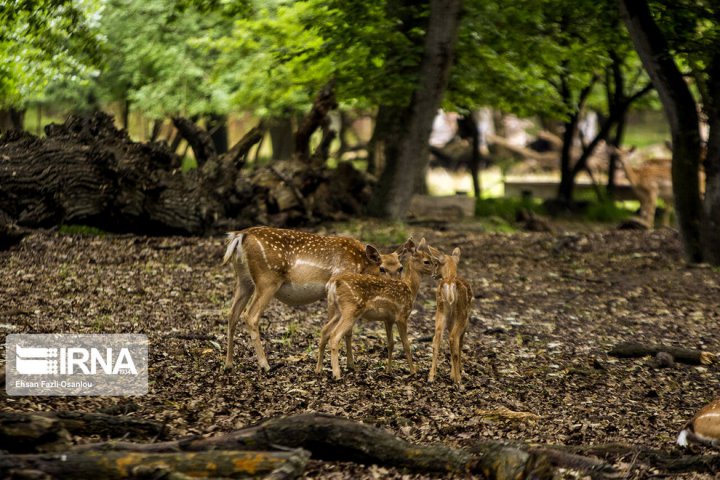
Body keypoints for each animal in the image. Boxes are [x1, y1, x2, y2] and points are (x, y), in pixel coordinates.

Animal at [222, 227, 404, 370]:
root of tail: (240, 236)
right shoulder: (335, 285)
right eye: (382, 268)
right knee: (250, 316)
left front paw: (350, 365)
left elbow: (348, 331)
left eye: (401, 267)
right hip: (267, 280)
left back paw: (229, 364)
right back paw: (265, 365)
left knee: (232, 314)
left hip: (244, 280)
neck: (361, 266)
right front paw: (336, 366)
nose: (397, 284)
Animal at [316, 236, 438, 378]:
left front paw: (388, 371)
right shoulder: (402, 316)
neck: (410, 288)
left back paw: (318, 369)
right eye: (427, 261)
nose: (436, 273)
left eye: (400, 268)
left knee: (325, 330)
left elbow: (391, 343)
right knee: (335, 335)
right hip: (351, 308)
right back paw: (337, 374)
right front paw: (413, 372)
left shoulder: (388, 319)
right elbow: (406, 344)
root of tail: (333, 283)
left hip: (337, 310)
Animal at [428, 248, 472, 386]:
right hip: (462, 315)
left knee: (436, 340)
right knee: (453, 339)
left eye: (436, 264)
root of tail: (449, 282)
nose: (432, 274)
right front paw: (456, 373)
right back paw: (458, 380)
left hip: (440, 311)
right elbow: (460, 344)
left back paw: (431, 377)